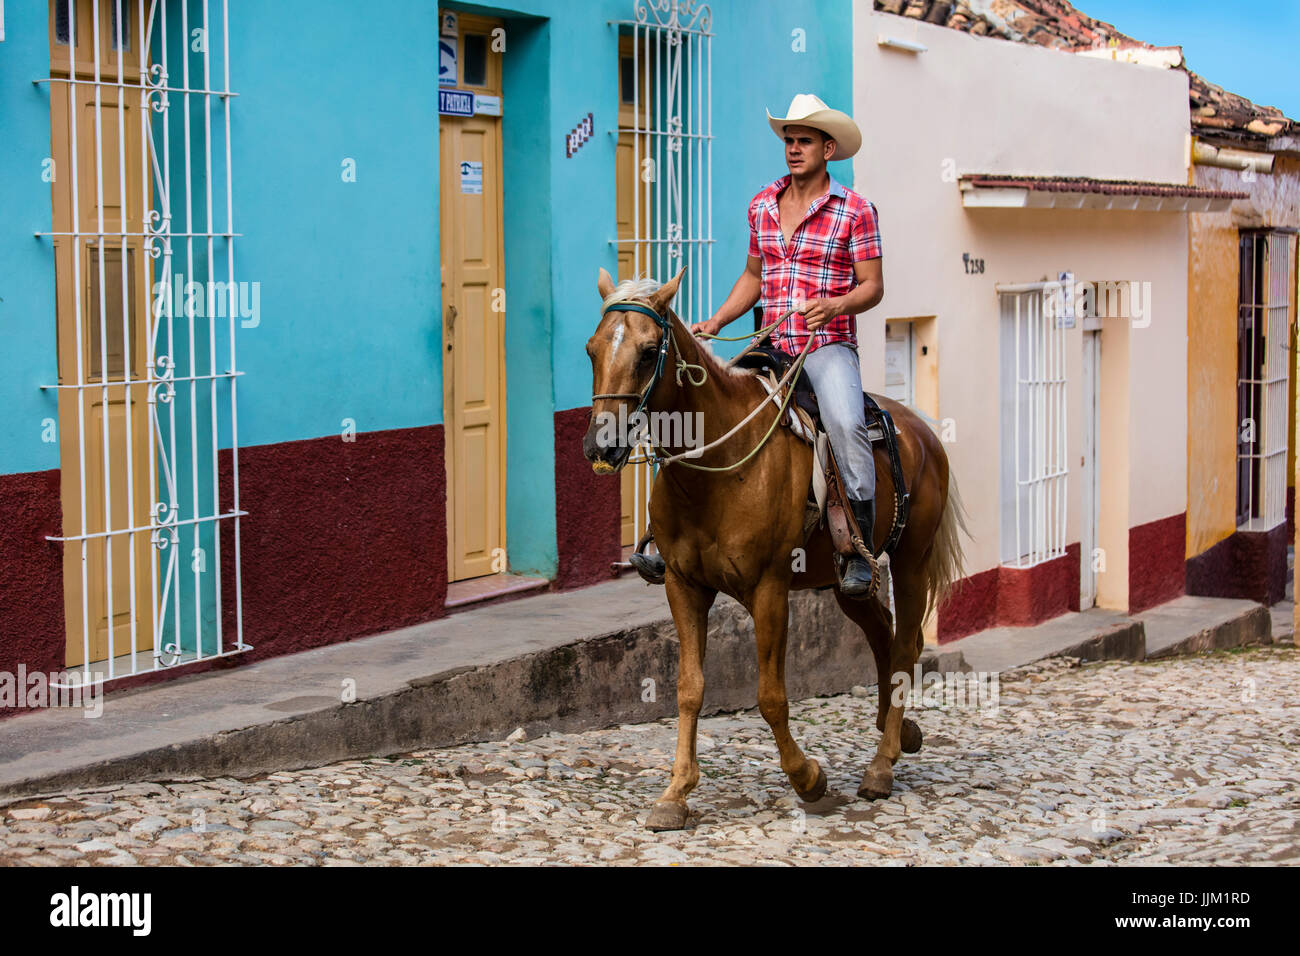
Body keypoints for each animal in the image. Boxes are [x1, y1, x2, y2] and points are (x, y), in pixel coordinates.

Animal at [582, 267, 967, 832]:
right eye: (591, 349)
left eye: (650, 351)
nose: (601, 446)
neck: (718, 464)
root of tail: (923, 432)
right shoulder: (682, 584)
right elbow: (689, 688)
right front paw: (675, 794)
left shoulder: (768, 589)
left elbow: (770, 696)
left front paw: (809, 779)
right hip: (845, 581)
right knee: (881, 631)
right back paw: (898, 731)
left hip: (912, 563)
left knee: (903, 647)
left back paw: (881, 766)